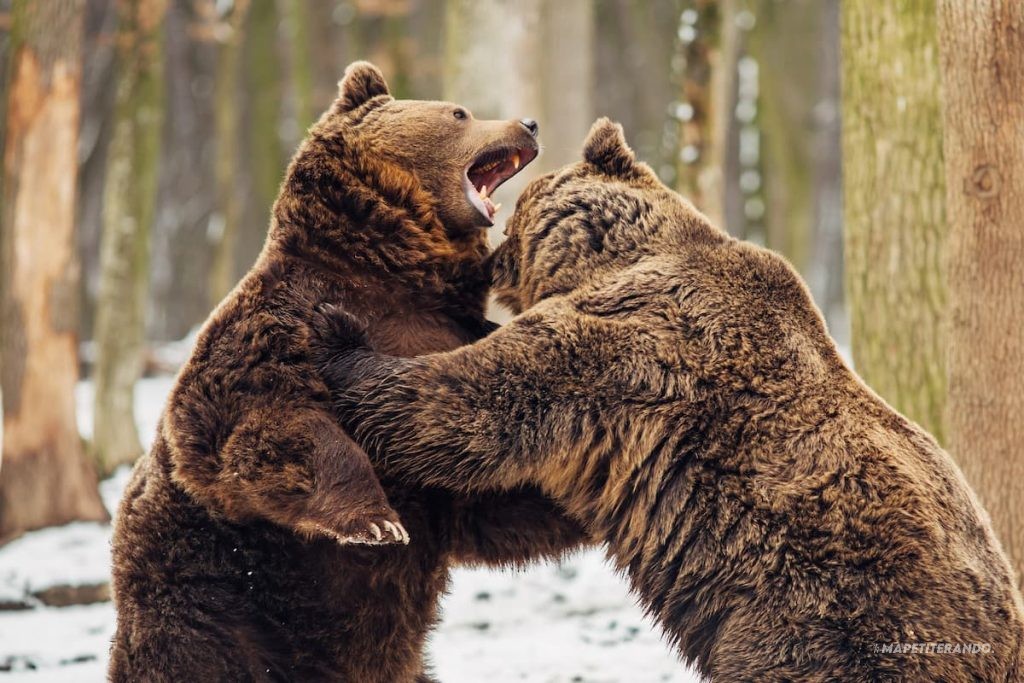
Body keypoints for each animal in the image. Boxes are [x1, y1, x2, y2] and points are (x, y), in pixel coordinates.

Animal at [109, 61, 586, 683]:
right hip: (210, 592)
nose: (528, 124)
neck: (389, 274)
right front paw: (377, 522)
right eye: (459, 112)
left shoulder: (449, 343)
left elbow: (487, 484)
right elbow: (269, 428)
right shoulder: (275, 334)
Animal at [314, 118, 1024, 681]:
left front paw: (338, 335)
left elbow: (472, 407)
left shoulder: (628, 353)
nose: (491, 256)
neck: (611, 258)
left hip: (817, 617)